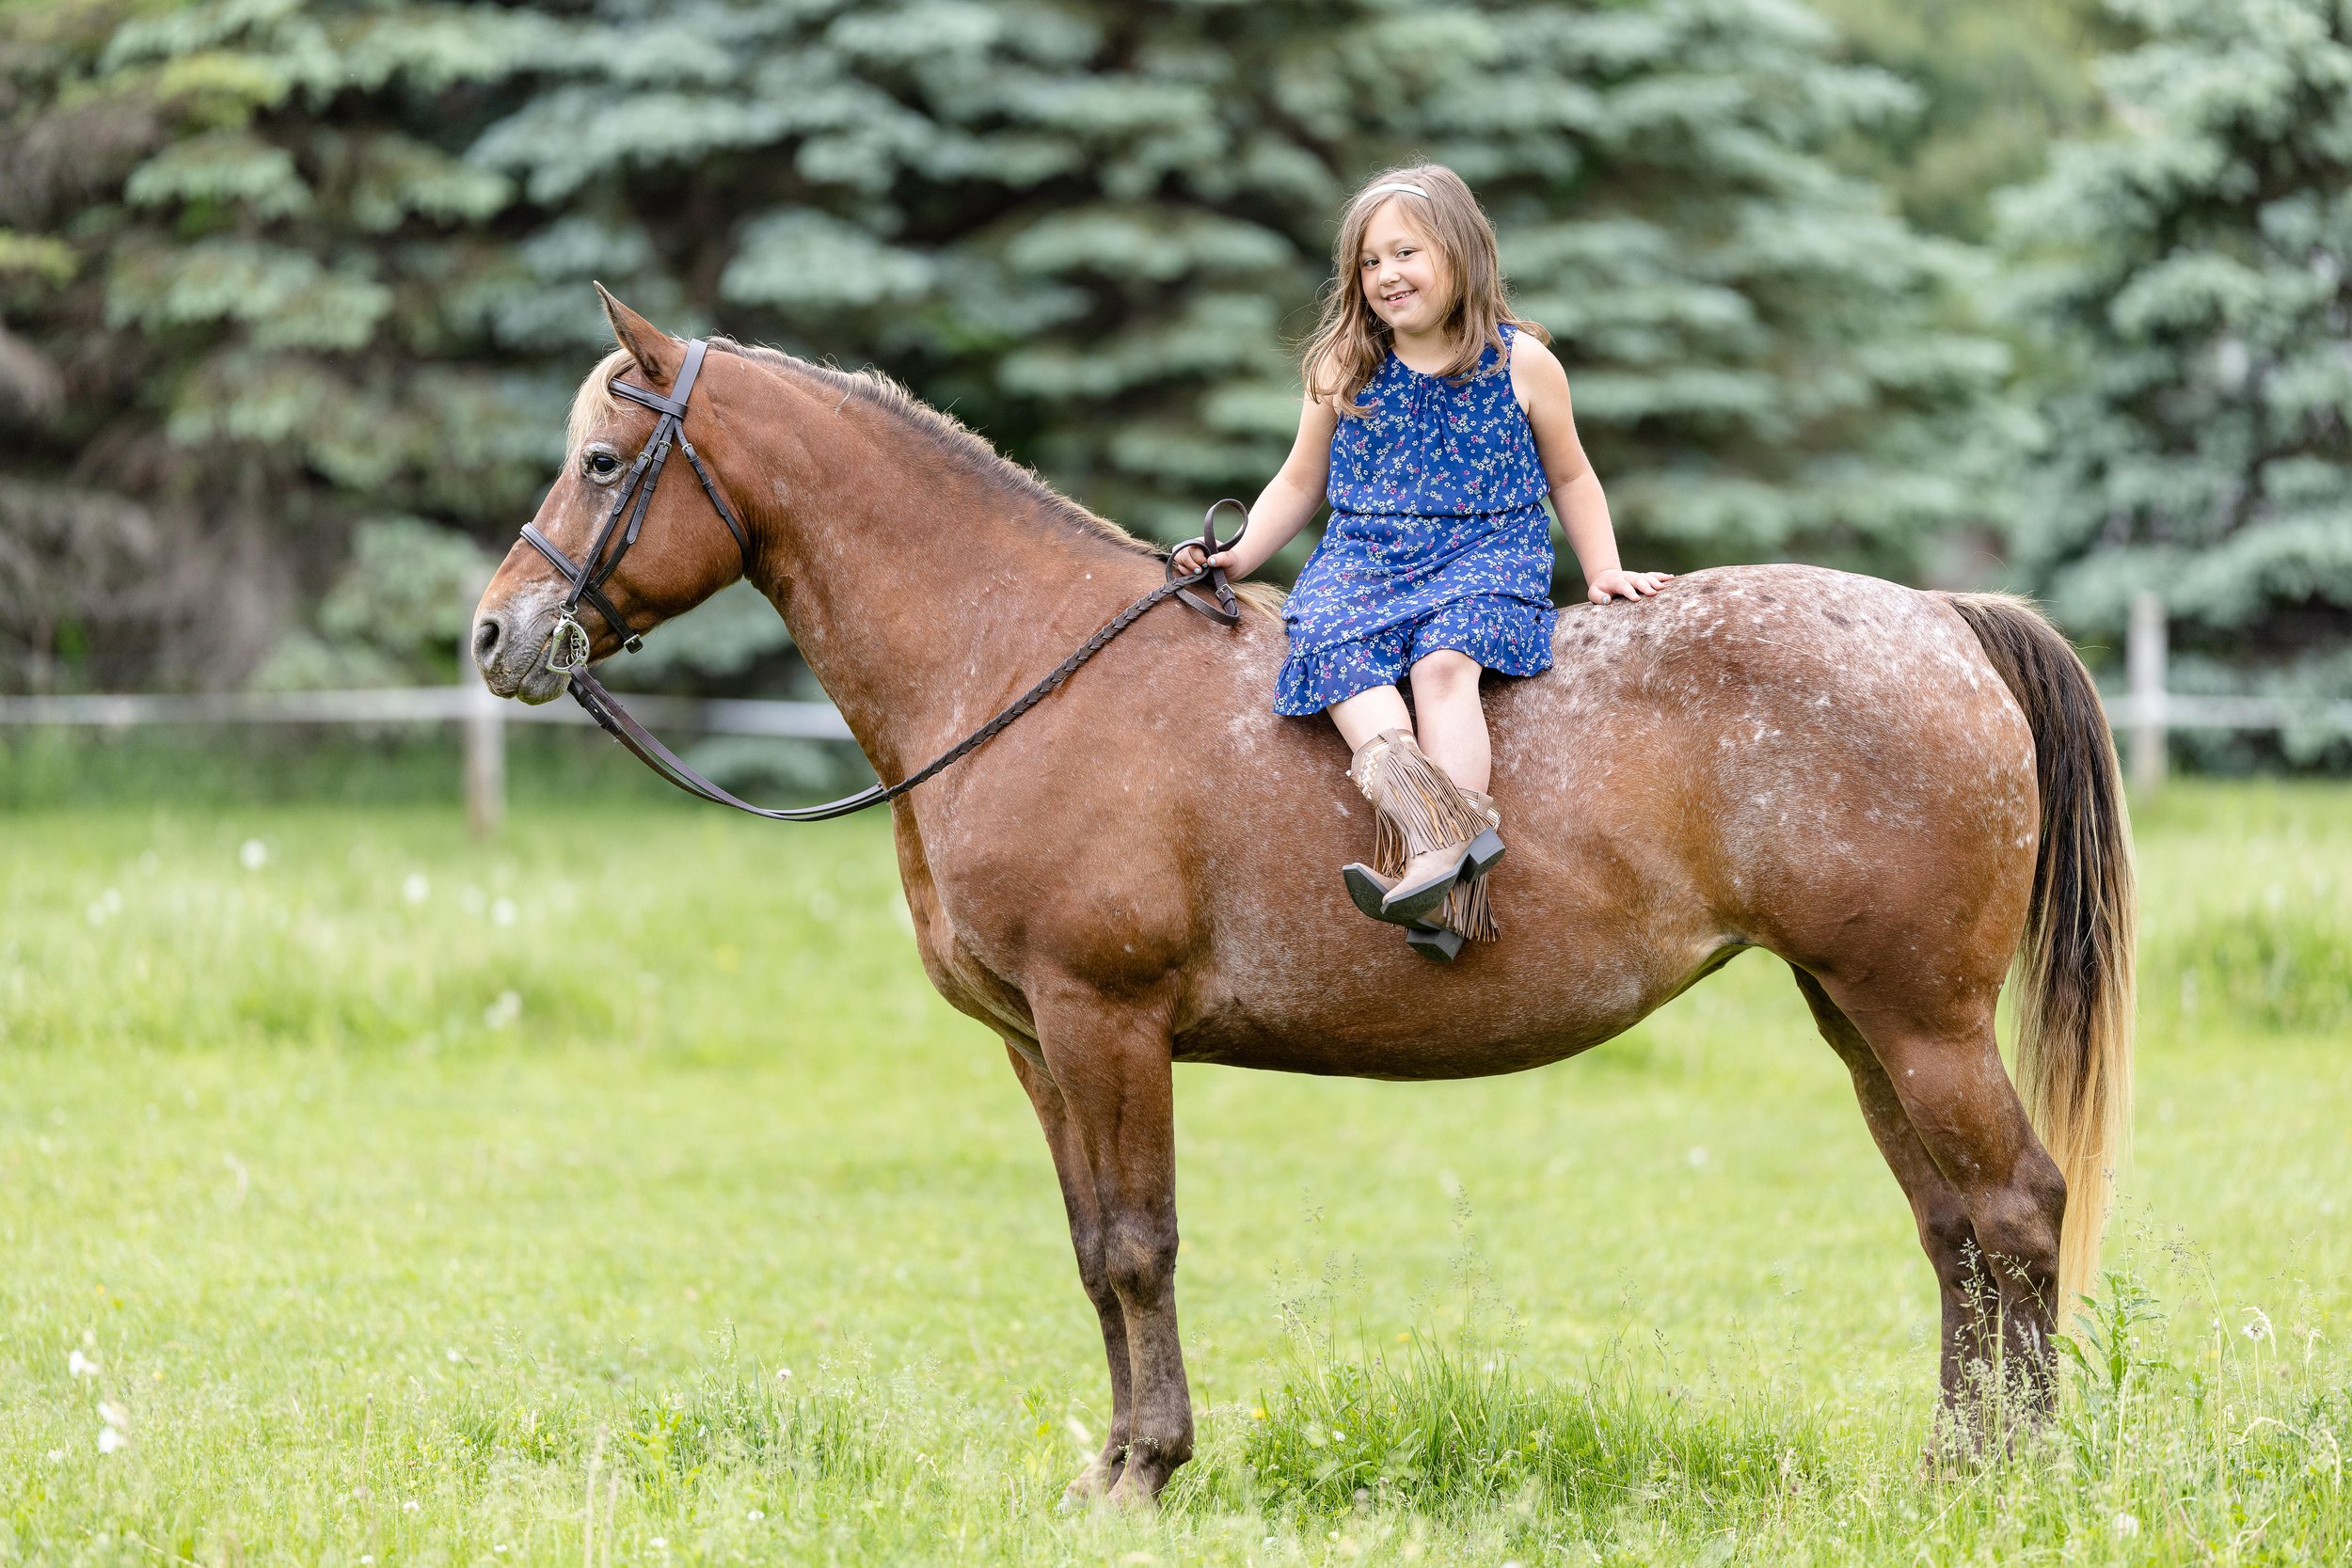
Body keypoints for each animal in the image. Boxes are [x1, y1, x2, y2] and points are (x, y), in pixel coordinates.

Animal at [472, 293, 2136, 1504]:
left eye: (605, 462)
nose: (498, 632)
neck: (1019, 660)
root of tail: (1942, 621)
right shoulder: (1035, 1045)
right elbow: (1090, 1248)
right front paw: (1113, 1462)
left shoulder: (1105, 1020)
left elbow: (1137, 1243)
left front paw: (1146, 1471)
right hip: (1858, 1015)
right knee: (1951, 1228)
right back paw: (1952, 1466)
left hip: (1919, 1017)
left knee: (2017, 1205)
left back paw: (2024, 1478)